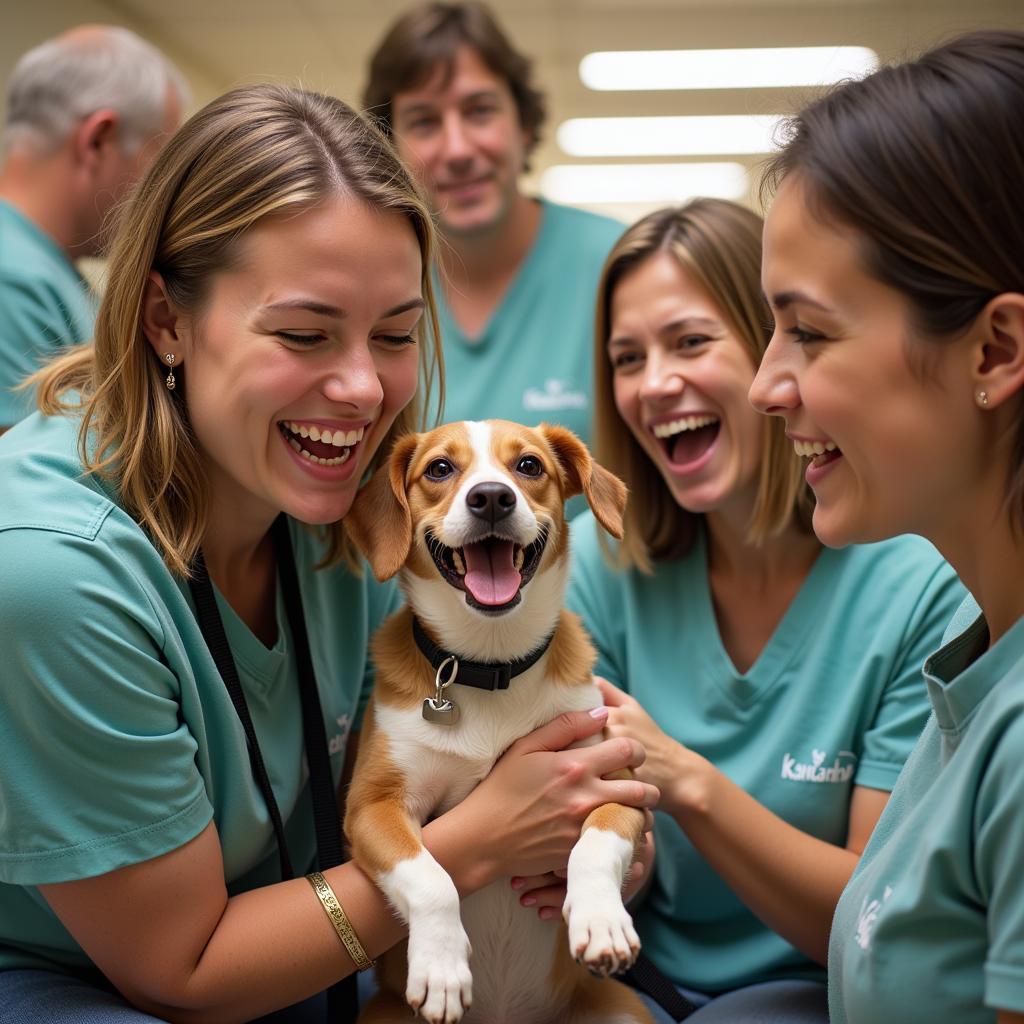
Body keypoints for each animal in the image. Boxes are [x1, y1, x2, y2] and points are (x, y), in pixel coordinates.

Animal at [342, 419, 647, 1019]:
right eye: (439, 468)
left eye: (528, 466)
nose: (490, 498)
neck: (491, 663)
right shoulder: (372, 807)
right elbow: (430, 876)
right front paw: (439, 967)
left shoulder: (615, 784)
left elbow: (597, 841)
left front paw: (601, 920)